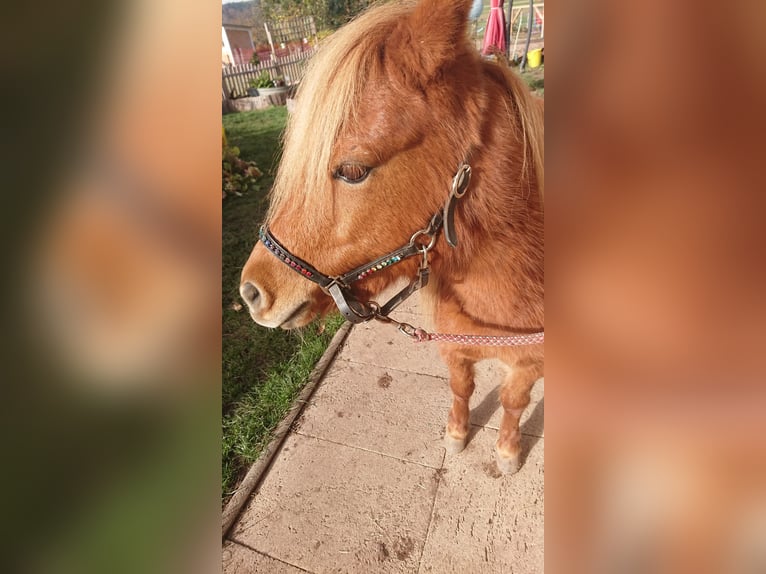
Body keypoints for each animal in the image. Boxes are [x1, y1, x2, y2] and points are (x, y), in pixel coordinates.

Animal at [242, 0, 544, 476]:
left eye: (353, 171)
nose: (252, 293)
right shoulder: (453, 347)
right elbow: (461, 388)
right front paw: (456, 434)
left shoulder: (530, 362)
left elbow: (514, 402)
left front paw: (508, 451)